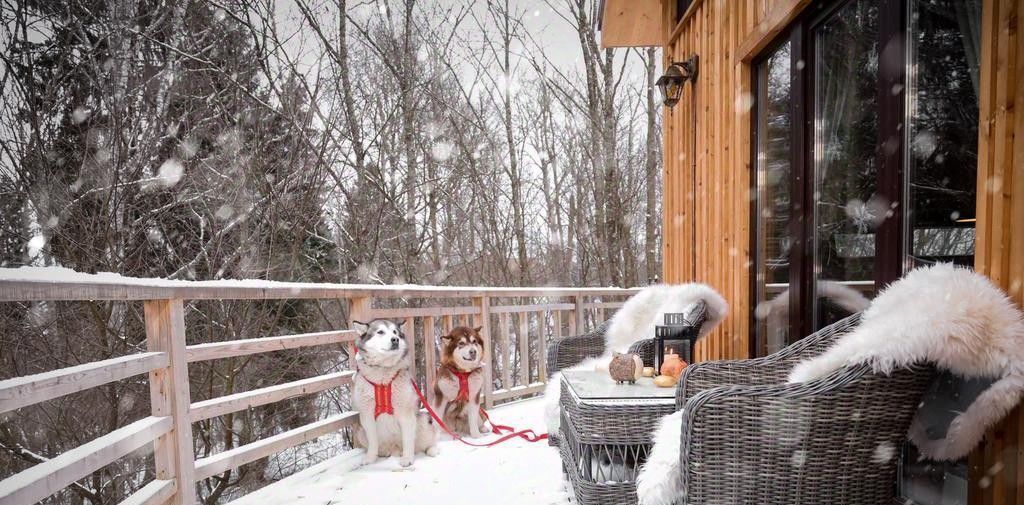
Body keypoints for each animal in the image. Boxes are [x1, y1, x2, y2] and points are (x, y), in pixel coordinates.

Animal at [352, 319, 436, 465]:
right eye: (380, 332)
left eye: (395, 332)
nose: (395, 339)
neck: (382, 377)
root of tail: (395, 447)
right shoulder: (367, 415)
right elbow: (372, 442)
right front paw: (370, 458)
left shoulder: (406, 414)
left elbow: (408, 440)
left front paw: (407, 459)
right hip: (361, 432)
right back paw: (383, 452)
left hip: (424, 420)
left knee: (428, 442)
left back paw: (431, 450)